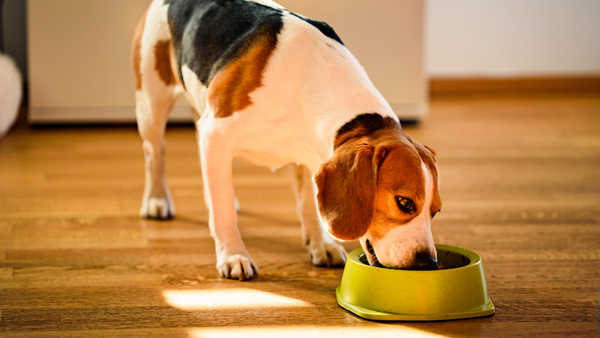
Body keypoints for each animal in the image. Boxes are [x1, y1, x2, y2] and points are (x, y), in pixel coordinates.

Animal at [132, 0, 440, 280]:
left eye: (435, 212)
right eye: (404, 202)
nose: (429, 263)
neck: (310, 81)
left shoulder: (310, 157)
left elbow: (308, 205)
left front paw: (320, 245)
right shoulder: (216, 133)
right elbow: (223, 213)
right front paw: (233, 255)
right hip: (151, 106)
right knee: (154, 152)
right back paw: (157, 200)